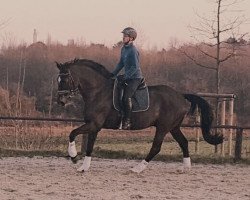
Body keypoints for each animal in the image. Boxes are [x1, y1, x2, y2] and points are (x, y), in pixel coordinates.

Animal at [56, 58, 223, 173]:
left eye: (65, 79)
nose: (60, 101)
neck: (98, 91)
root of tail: (180, 95)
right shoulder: (94, 126)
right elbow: (89, 146)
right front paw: (83, 167)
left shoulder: (94, 124)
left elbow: (72, 133)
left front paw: (74, 157)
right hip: (173, 127)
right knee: (184, 142)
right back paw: (185, 168)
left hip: (163, 127)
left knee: (156, 147)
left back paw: (137, 168)